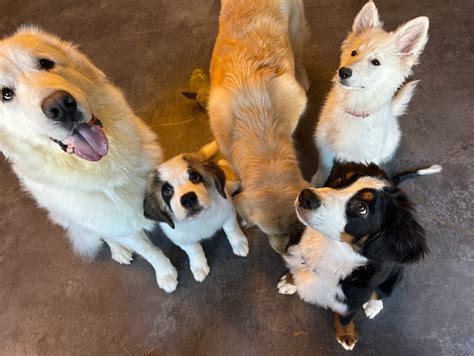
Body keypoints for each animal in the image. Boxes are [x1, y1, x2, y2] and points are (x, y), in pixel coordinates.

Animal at [0, 25, 178, 292]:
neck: (107, 168)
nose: (61, 106)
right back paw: (119, 251)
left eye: (45, 63)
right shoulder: (114, 221)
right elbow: (150, 251)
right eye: (6, 94)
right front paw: (166, 274)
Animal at [143, 143, 248, 286]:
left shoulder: (228, 210)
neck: (199, 219)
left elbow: (231, 229)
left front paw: (239, 243)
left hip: (231, 185)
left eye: (195, 177)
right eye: (167, 191)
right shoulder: (181, 238)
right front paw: (198, 265)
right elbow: (193, 250)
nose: (187, 198)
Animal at [278, 161, 440, 350]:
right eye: (340, 179)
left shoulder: (353, 299)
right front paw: (290, 280)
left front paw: (346, 334)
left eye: (362, 208)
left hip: (394, 276)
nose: (306, 196)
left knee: (382, 292)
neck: (328, 249)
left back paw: (373, 305)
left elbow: (345, 317)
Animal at [312, 1, 428, 186]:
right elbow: (324, 165)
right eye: (354, 52)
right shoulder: (324, 144)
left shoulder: (367, 157)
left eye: (375, 62)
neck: (354, 107)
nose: (343, 72)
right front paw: (317, 181)